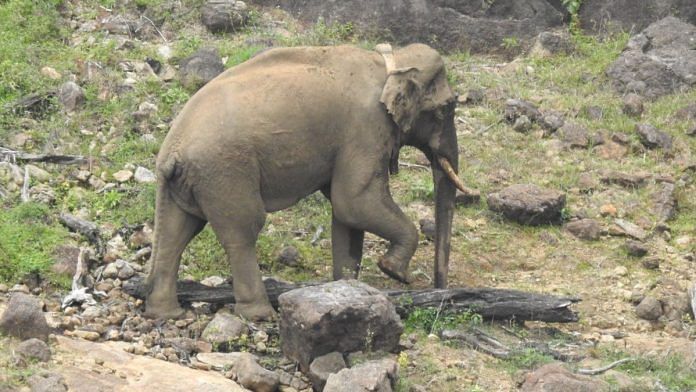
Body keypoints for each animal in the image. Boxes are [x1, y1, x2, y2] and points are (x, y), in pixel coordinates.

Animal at [145, 43, 470, 320]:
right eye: (446, 108)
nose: (441, 289)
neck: (389, 61)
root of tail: (170, 153)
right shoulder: (365, 128)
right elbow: (354, 202)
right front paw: (394, 272)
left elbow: (347, 215)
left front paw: (348, 290)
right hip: (225, 171)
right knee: (243, 231)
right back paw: (260, 314)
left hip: (188, 182)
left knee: (176, 232)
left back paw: (166, 314)